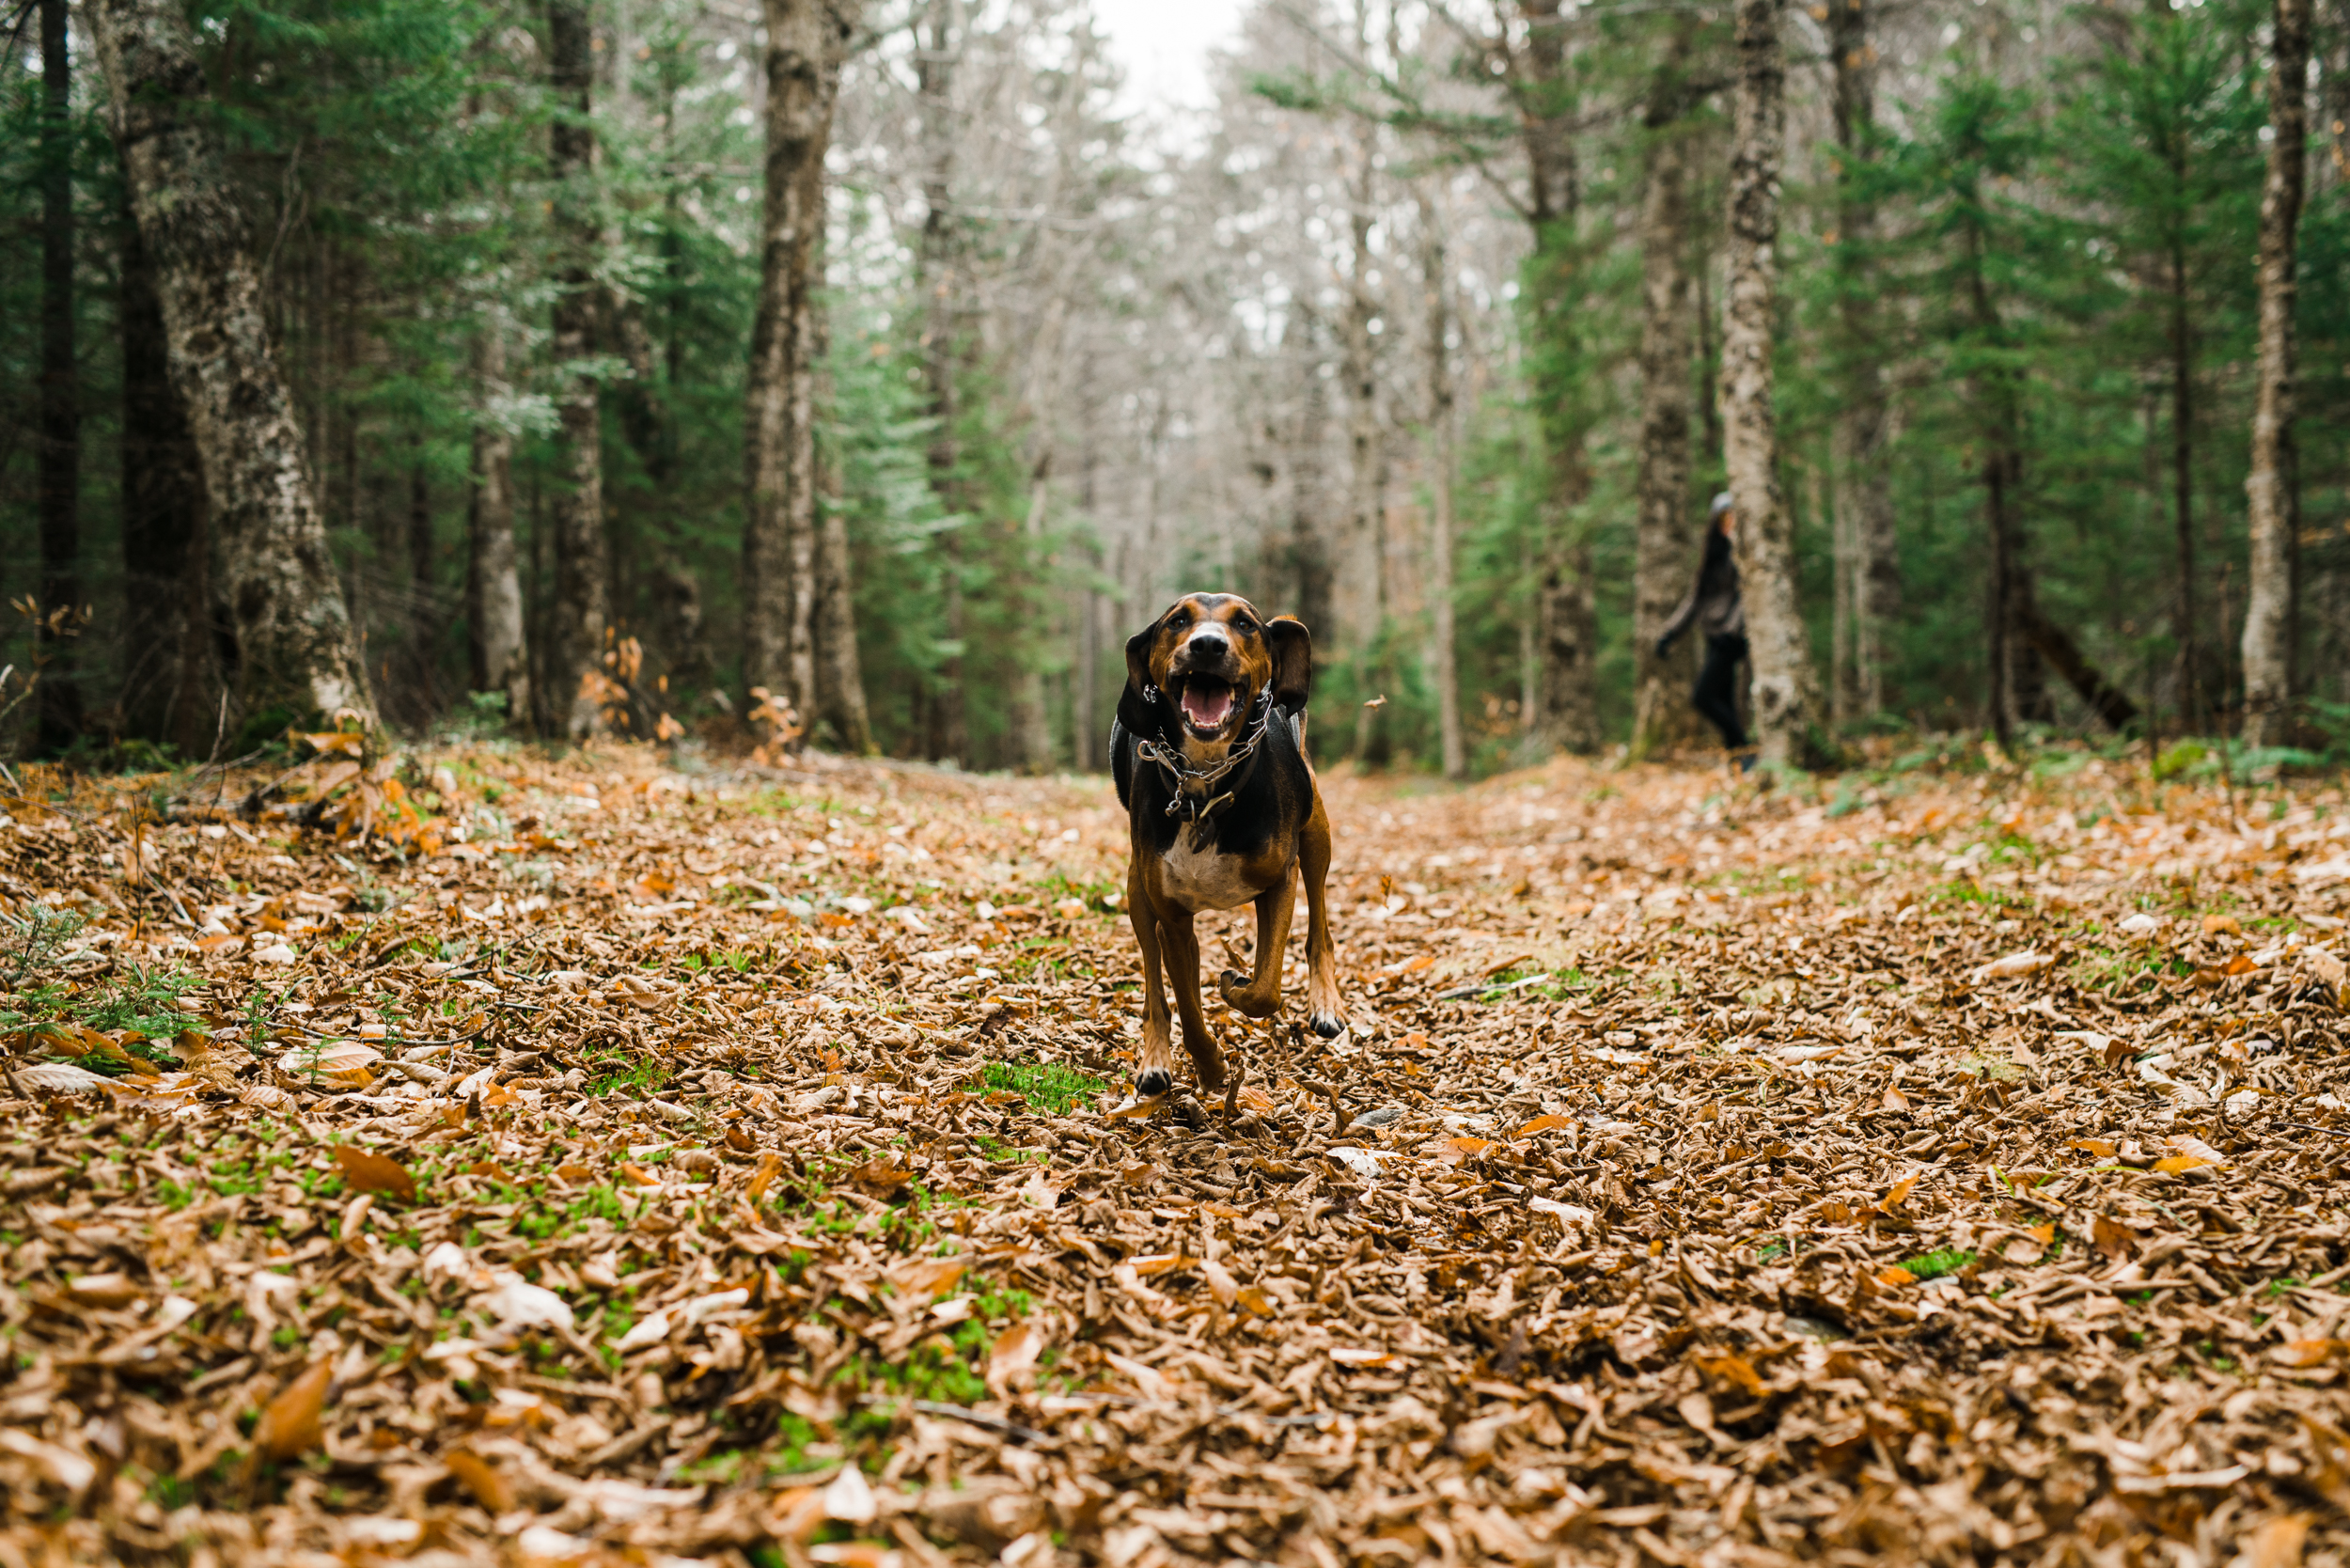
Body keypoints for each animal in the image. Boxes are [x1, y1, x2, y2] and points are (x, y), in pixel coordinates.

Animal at [1114, 594, 1354, 1100]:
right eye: (1177, 621)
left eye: (1245, 624)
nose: (1207, 645)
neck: (1204, 784)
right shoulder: (1173, 920)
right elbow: (1187, 1009)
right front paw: (1210, 1069)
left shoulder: (1278, 883)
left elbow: (1265, 990)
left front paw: (1233, 985)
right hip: (1137, 892)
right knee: (1154, 989)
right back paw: (1155, 1059)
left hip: (1316, 835)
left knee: (1320, 928)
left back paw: (1325, 1005)